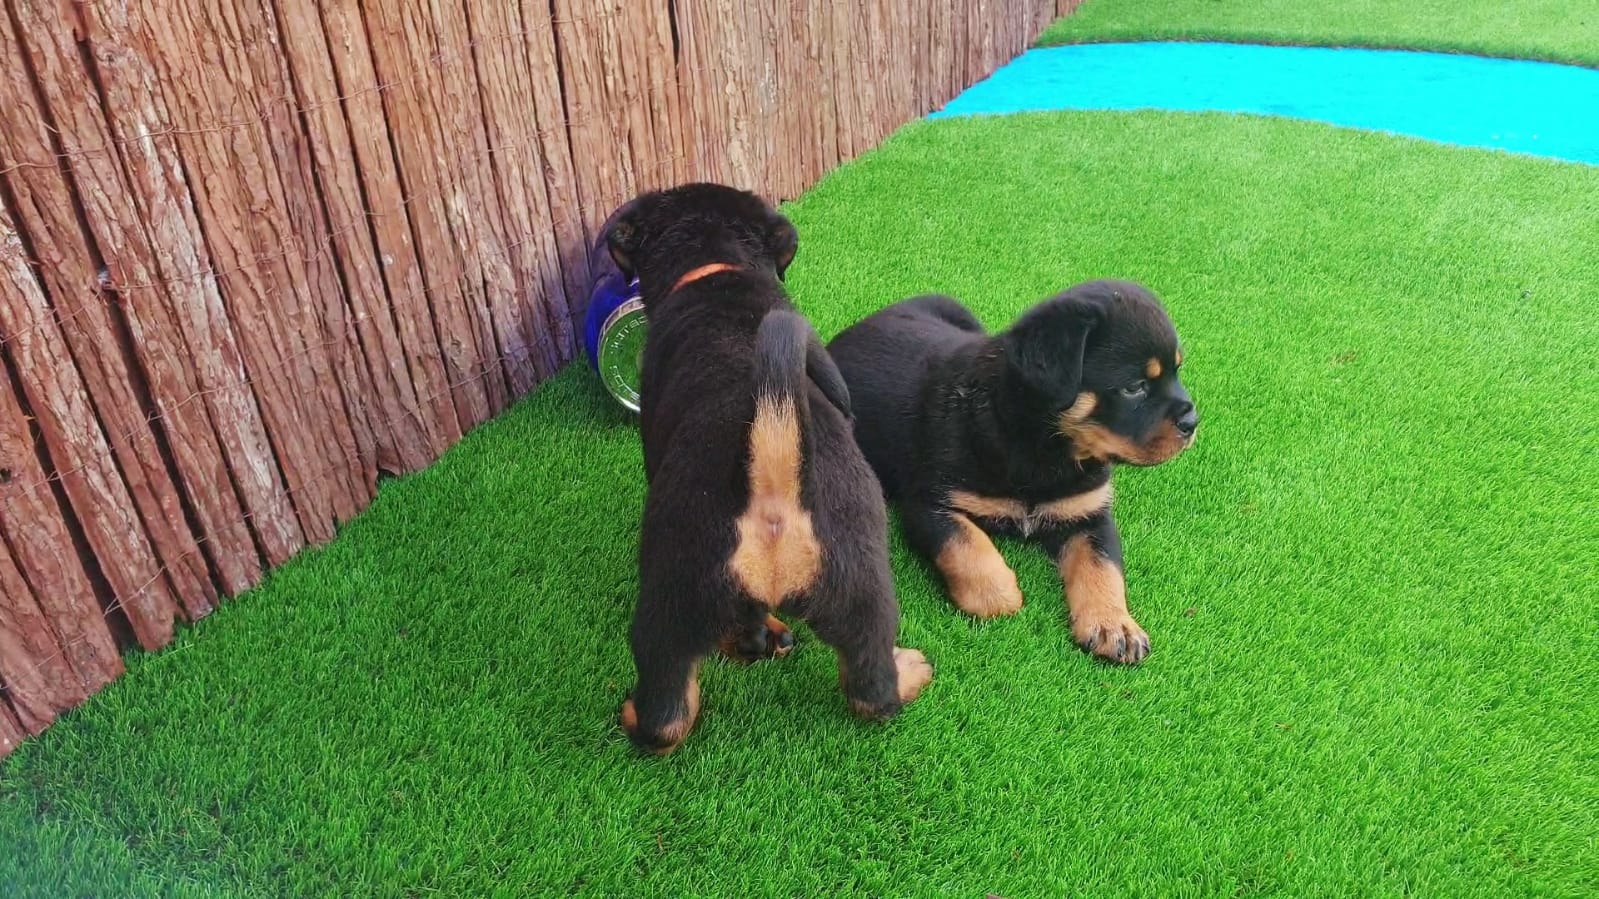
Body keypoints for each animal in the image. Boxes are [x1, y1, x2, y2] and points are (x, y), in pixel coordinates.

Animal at [605, 183, 932, 754]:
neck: (715, 266)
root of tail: (774, 482)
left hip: (672, 593)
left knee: (667, 714)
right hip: (860, 585)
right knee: (871, 689)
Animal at [825, 280, 1197, 665]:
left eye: (1177, 371)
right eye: (1133, 387)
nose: (1192, 422)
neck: (1045, 448)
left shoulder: (1091, 512)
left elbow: (1104, 565)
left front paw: (1114, 626)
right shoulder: (928, 502)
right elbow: (966, 545)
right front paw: (1000, 593)